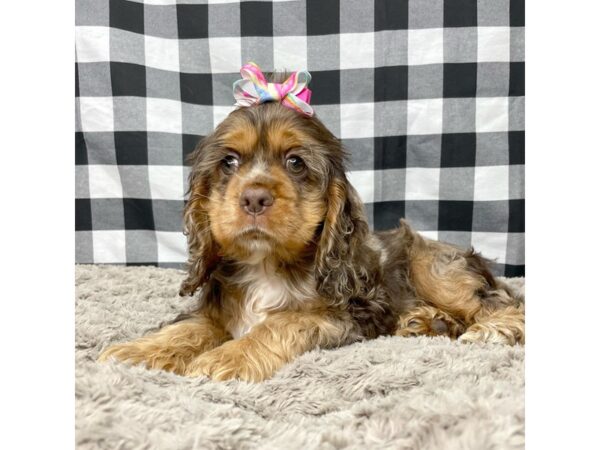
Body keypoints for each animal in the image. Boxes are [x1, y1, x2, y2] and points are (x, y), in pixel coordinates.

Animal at [97, 65, 520, 382]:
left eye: (295, 162)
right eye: (229, 162)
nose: (254, 197)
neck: (266, 264)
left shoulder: (342, 316)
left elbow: (281, 323)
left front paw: (225, 358)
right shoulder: (217, 310)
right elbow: (188, 327)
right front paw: (135, 350)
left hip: (435, 269)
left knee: (501, 303)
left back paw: (492, 328)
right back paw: (428, 323)